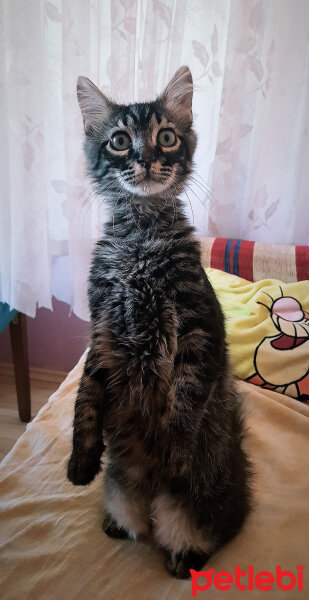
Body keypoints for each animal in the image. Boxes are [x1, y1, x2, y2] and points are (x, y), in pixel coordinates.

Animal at [67, 68, 250, 580]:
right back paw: (118, 523)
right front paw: (80, 458)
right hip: (119, 490)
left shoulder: (198, 330)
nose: (146, 159)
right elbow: (85, 398)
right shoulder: (102, 330)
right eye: (119, 141)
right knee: (132, 520)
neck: (139, 240)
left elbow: (184, 403)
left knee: (201, 533)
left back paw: (183, 556)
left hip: (199, 506)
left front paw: (174, 456)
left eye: (166, 137)